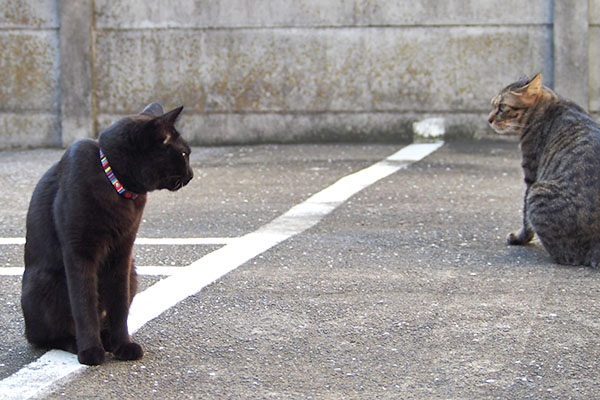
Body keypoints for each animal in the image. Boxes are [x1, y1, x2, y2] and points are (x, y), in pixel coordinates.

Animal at [21, 101, 193, 364]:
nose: (191, 175)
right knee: (47, 335)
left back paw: (109, 339)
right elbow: (84, 304)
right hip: (43, 282)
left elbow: (119, 304)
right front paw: (91, 351)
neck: (115, 185)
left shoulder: (123, 251)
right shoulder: (79, 252)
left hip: (133, 273)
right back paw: (76, 343)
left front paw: (124, 344)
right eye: (184, 154)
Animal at [488, 73, 600, 268]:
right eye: (494, 106)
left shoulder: (530, 176)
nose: (489, 119)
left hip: (537, 191)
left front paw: (519, 238)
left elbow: (525, 219)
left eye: (502, 107)